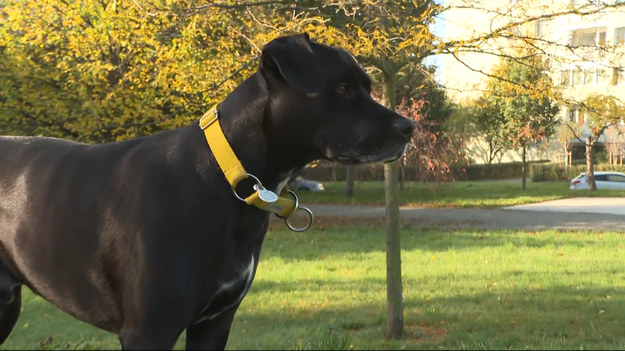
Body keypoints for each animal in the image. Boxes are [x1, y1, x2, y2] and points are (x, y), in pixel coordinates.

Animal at [0, 34, 414, 350]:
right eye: (343, 89)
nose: (408, 127)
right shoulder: (150, 330)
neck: (230, 178)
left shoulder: (215, 322)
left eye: (367, 87)